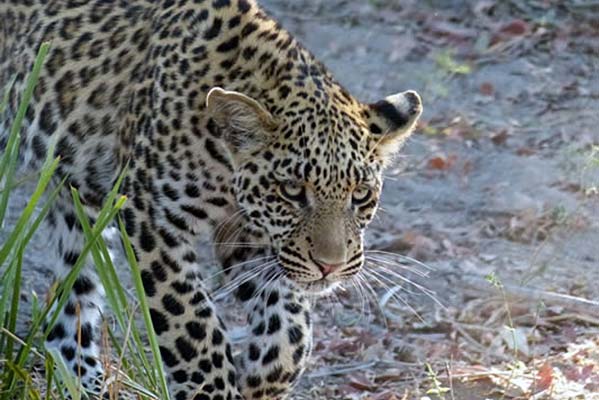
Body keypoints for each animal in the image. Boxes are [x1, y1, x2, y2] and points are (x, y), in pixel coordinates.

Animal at [1, 1, 422, 398]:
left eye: (360, 194)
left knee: (73, 295)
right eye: (291, 190)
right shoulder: (150, 217)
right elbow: (192, 325)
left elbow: (289, 329)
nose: (329, 267)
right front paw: (215, 389)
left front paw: (261, 381)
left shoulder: (249, 233)